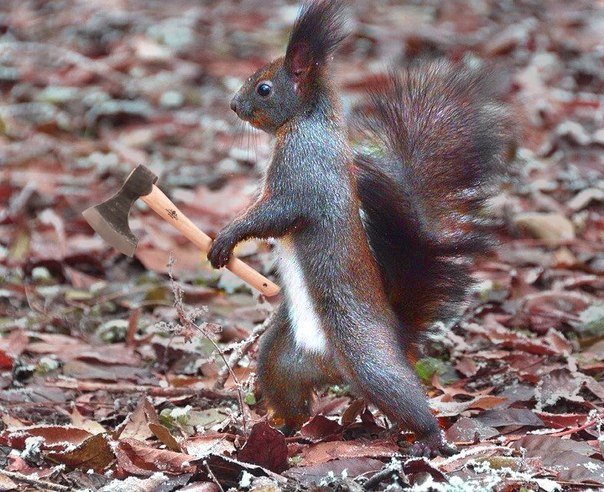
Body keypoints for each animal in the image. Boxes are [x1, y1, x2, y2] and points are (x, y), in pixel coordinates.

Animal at [208, 0, 510, 454]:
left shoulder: (303, 171)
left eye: (264, 88)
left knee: (401, 393)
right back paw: (282, 430)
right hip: (280, 356)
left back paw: (428, 438)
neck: (307, 121)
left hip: (365, 354)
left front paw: (226, 238)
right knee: (289, 392)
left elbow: (277, 213)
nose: (232, 105)